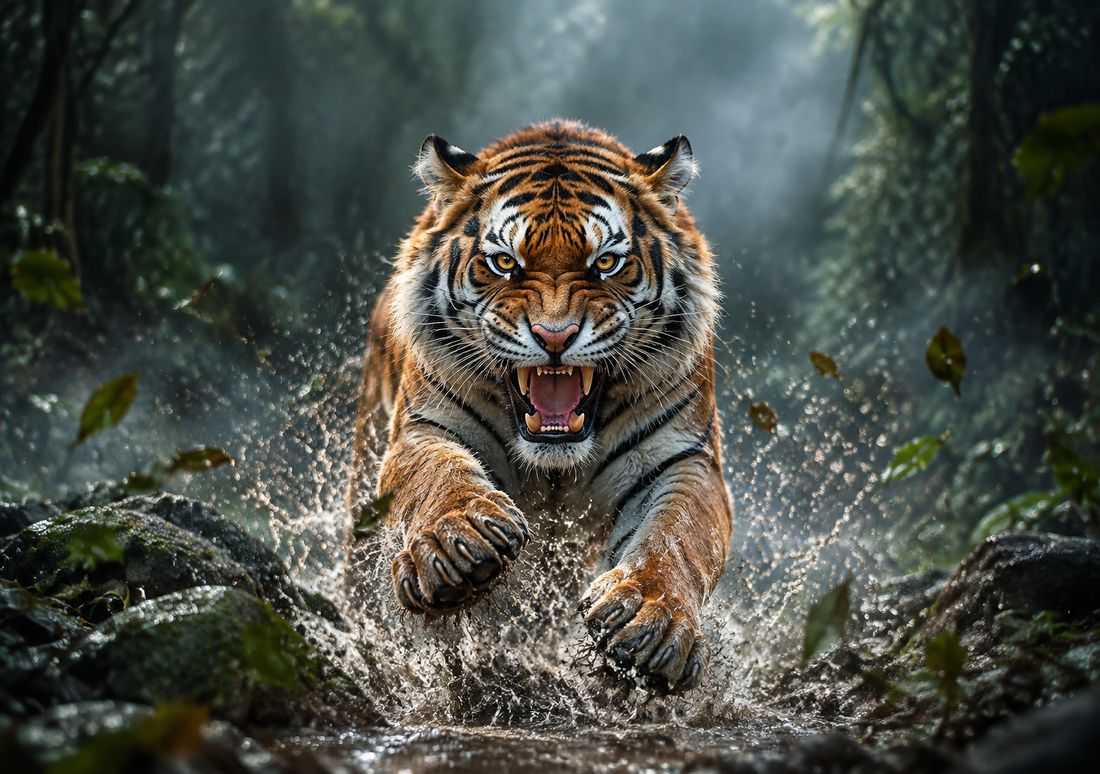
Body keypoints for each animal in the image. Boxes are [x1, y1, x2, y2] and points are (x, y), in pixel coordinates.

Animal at [350, 120, 732, 695]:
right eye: (505, 263)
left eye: (606, 263)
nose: (555, 336)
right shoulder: (423, 427)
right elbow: (438, 477)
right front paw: (457, 546)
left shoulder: (684, 459)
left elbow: (678, 535)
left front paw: (652, 621)